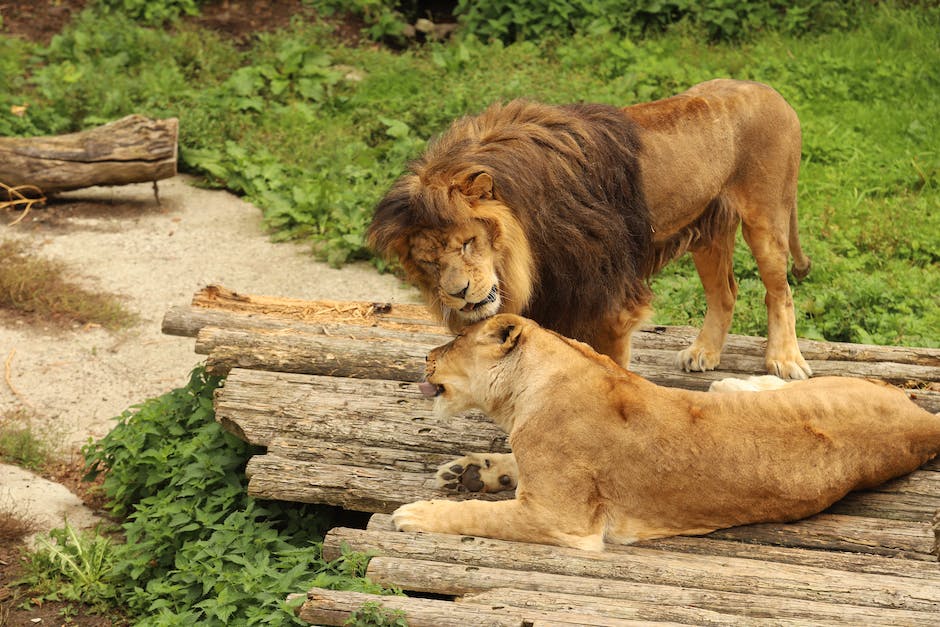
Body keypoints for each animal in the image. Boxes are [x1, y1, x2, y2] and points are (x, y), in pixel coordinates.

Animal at [370, 81, 816, 380]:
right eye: (429, 263)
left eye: (468, 243)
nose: (459, 294)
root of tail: (772, 91)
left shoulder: (609, 303)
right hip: (707, 230)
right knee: (725, 293)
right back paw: (703, 352)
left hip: (767, 218)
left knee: (780, 292)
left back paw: (784, 359)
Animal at [392, 316, 940, 552]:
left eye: (453, 342)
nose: (425, 357)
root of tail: (923, 423)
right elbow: (509, 468)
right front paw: (468, 472)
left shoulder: (562, 521)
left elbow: (479, 516)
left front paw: (418, 512)